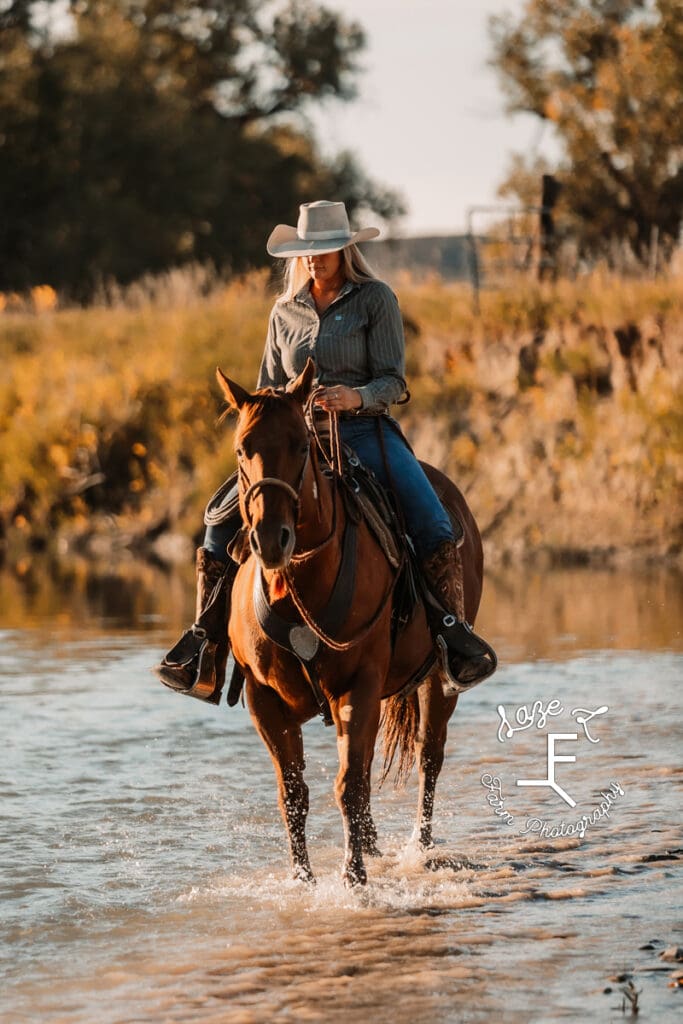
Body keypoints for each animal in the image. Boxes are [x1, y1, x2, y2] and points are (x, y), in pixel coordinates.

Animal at [219, 358, 485, 880]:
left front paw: (353, 878)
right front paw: (303, 879)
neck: (298, 589)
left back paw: (418, 847)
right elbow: (294, 794)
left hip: (435, 680)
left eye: (301, 445)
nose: (271, 539)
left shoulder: (358, 685)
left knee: (429, 755)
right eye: (242, 448)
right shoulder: (264, 699)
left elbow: (349, 786)